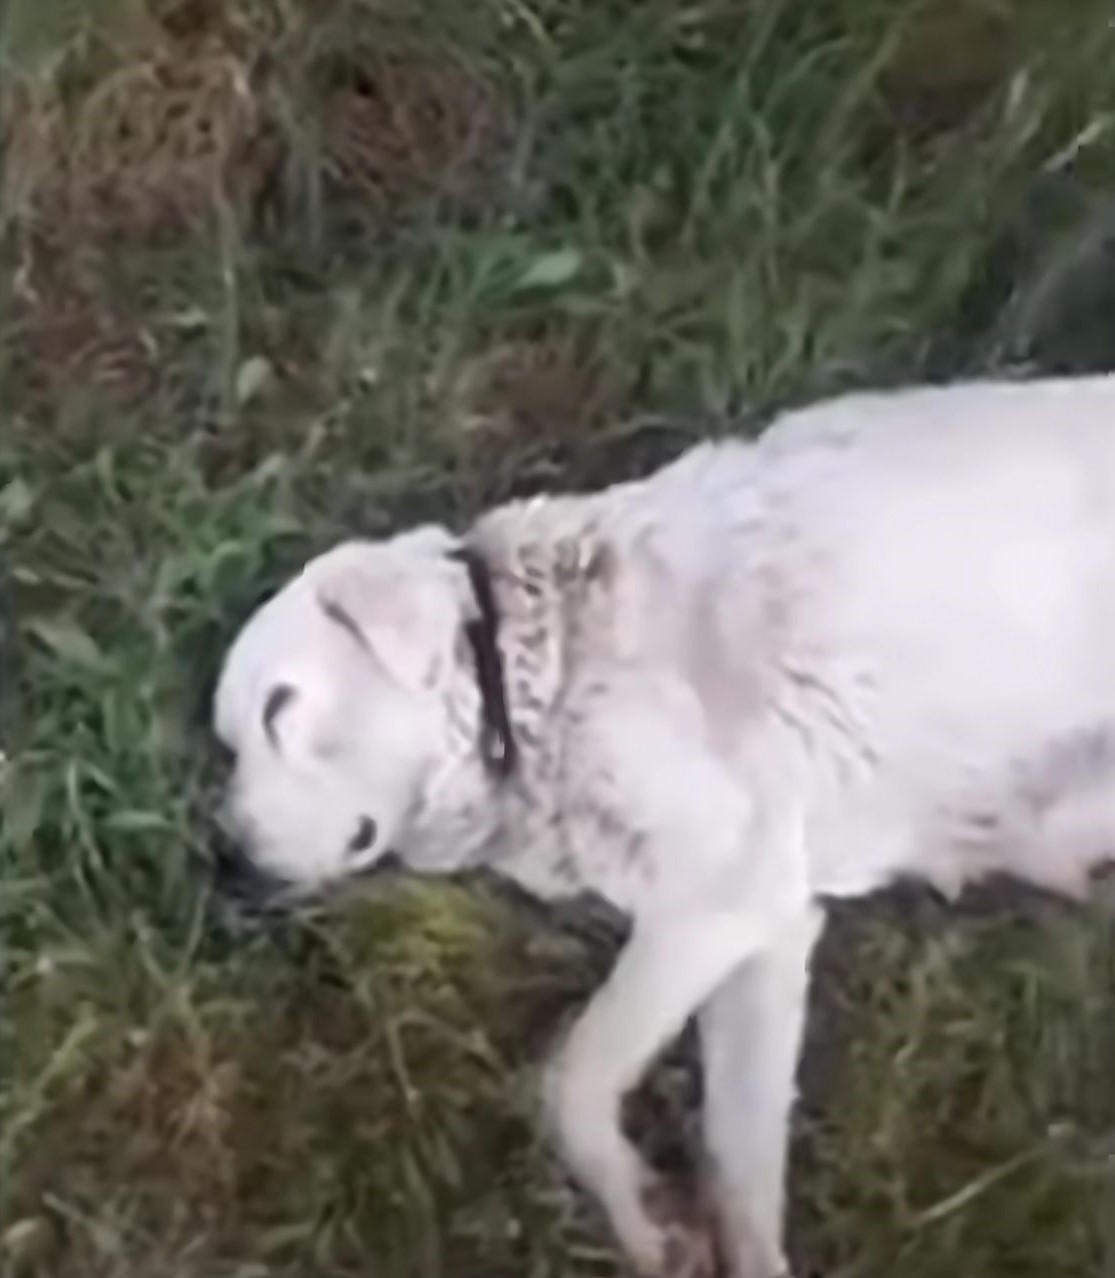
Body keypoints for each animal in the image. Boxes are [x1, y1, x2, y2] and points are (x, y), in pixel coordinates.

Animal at [210, 373, 1115, 1278]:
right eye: (230, 743)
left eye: (279, 707)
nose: (231, 859)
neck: (532, 672)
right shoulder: (766, 933)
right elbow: (736, 1161)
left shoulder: (718, 894)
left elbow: (571, 1079)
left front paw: (638, 1213)